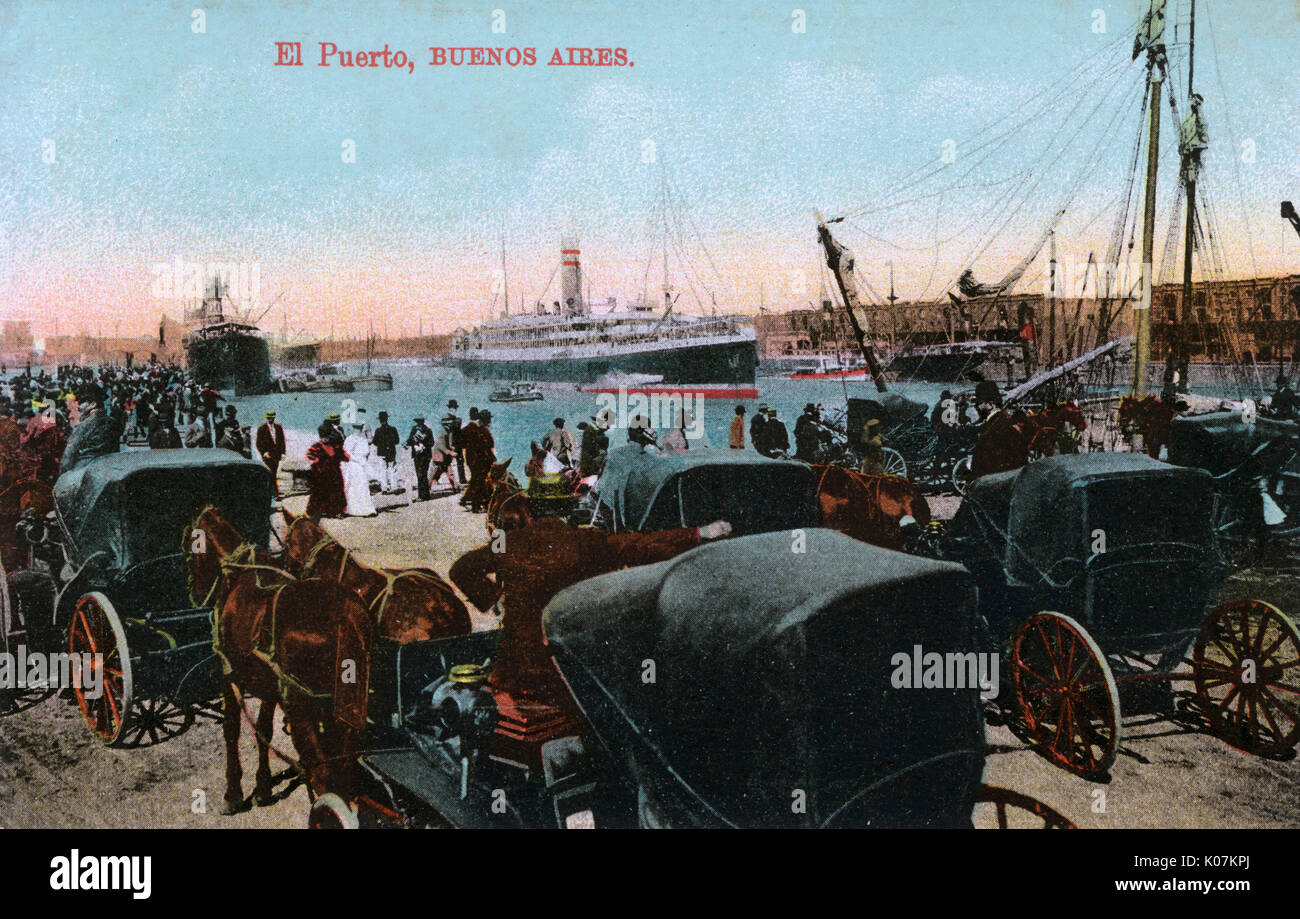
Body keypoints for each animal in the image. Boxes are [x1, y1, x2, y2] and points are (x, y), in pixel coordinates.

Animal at [189, 506, 379, 816]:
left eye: (191, 544)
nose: (195, 592)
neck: (239, 573)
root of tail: (345, 619)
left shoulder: (229, 673)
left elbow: (231, 729)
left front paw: (233, 793)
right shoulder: (269, 685)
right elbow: (263, 731)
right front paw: (264, 787)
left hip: (302, 709)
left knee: (324, 777)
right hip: (346, 711)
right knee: (345, 767)